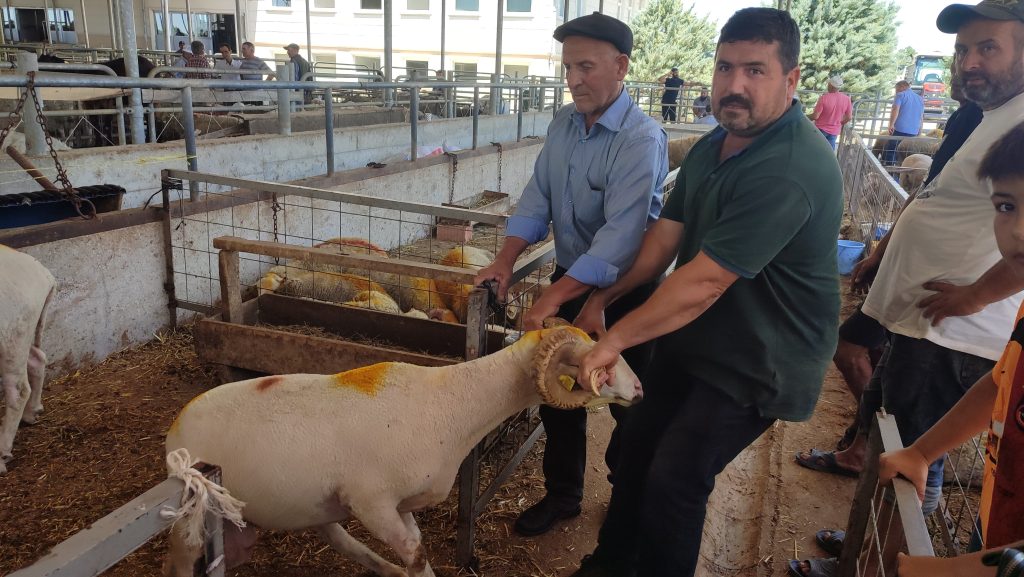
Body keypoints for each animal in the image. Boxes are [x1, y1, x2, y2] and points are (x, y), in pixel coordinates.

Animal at [161, 325, 642, 577]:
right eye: (598, 367)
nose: (639, 389)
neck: (453, 403)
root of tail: (176, 426)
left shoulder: (400, 505)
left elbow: (417, 555)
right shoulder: (372, 502)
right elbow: (415, 554)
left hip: (303, 504)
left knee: (337, 538)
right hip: (190, 519)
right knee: (178, 563)